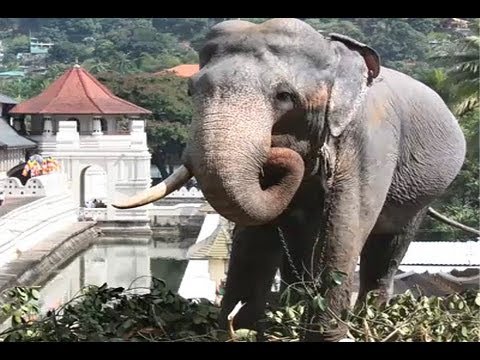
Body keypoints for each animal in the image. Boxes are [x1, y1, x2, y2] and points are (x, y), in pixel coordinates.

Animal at [113, 18, 472, 342]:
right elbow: (255, 234)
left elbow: (345, 224)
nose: (277, 149)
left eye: (284, 95)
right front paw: (239, 330)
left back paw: (366, 322)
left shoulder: (371, 140)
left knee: (388, 245)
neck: (333, 52)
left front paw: (326, 337)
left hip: (421, 194)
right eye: (190, 90)